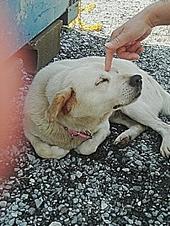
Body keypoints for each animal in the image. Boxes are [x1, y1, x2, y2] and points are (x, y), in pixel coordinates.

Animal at [23, 57, 170, 159]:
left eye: (116, 72)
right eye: (101, 81)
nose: (137, 79)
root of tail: (146, 75)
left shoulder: (104, 126)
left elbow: (87, 148)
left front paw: (75, 148)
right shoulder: (28, 131)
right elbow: (42, 149)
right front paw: (59, 150)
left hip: (133, 108)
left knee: (163, 126)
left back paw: (165, 144)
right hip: (119, 114)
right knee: (141, 126)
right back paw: (126, 137)